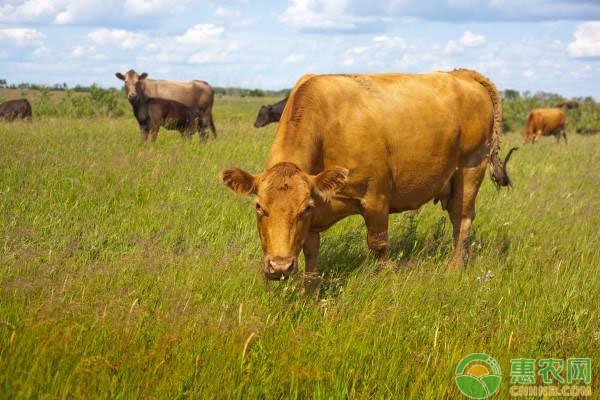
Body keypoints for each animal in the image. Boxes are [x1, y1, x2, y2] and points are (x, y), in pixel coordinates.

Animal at [220, 69, 516, 282]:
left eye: (304, 208)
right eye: (259, 207)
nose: (279, 267)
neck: (326, 127)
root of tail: (461, 74)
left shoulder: (375, 199)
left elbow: (378, 245)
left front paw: (387, 279)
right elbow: (311, 252)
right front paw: (310, 291)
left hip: (470, 168)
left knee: (461, 220)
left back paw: (454, 268)